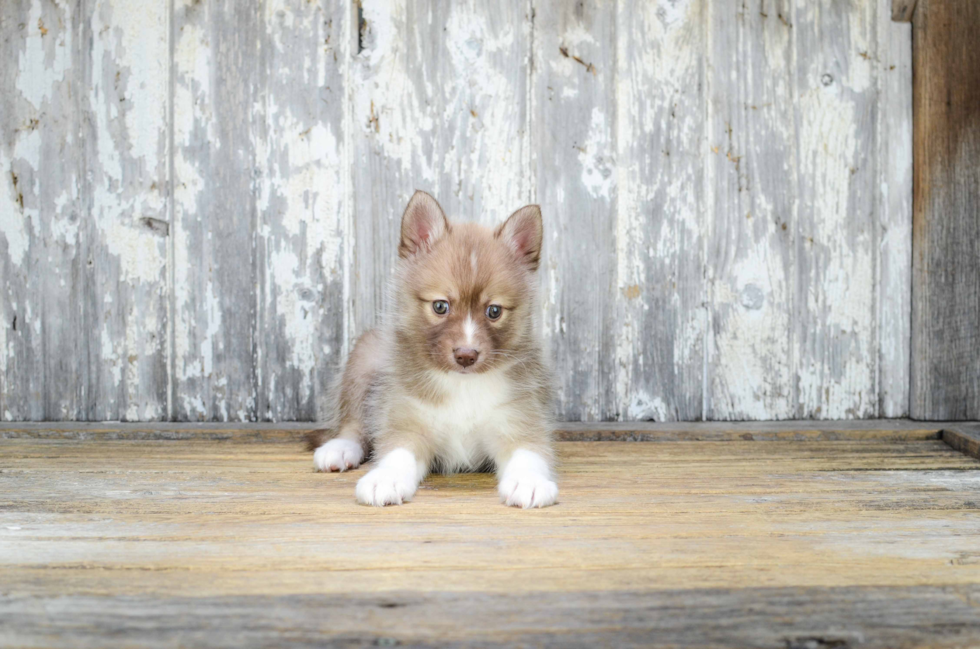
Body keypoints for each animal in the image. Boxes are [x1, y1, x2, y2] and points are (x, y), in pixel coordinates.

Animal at [312, 190, 560, 508]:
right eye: (440, 306)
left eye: (494, 311)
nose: (466, 356)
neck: (462, 387)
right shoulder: (407, 419)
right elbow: (397, 451)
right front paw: (385, 479)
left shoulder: (519, 418)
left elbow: (528, 453)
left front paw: (528, 482)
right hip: (363, 361)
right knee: (352, 421)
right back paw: (340, 449)